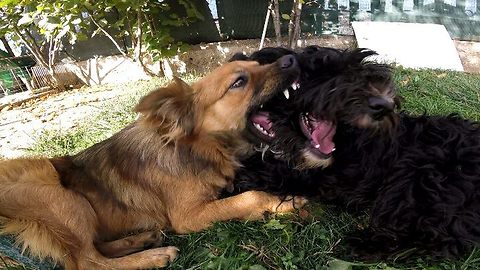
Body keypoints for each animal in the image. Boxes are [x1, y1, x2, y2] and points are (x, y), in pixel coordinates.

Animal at [0, 56, 302, 268]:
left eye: (258, 65)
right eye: (239, 82)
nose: (291, 59)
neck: (197, 149)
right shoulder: (187, 216)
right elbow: (249, 197)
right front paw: (286, 204)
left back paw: (143, 239)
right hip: (57, 192)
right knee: (88, 262)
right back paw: (154, 256)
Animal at [234, 46, 480, 260]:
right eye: (327, 75)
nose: (384, 105)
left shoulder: (313, 176)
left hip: (419, 179)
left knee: (440, 239)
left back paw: (365, 244)